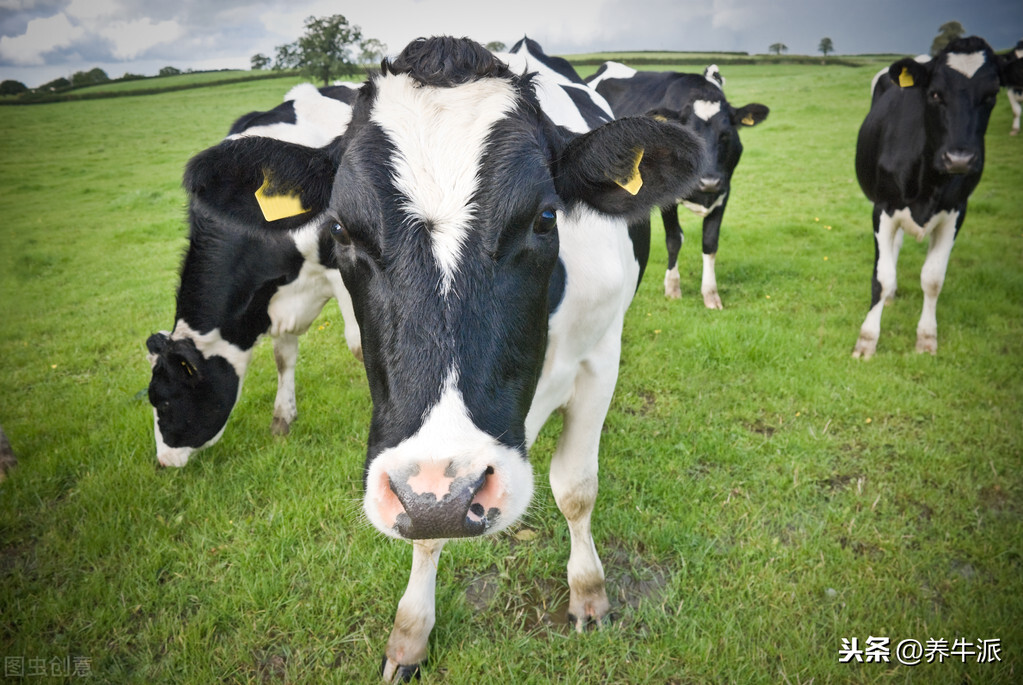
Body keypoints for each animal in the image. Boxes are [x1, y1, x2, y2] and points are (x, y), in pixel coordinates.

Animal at [147, 79, 364, 466]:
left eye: (167, 400)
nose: (163, 462)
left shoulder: (342, 274)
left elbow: (360, 345)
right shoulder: (272, 298)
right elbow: (283, 356)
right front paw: (282, 419)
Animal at [184, 36, 707, 682]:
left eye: (545, 217)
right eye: (341, 230)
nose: (449, 494)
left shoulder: (600, 357)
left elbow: (576, 487)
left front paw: (589, 593)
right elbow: (425, 534)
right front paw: (410, 634)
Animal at [585, 61, 769, 308]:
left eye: (726, 135)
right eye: (688, 135)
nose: (708, 180)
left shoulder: (723, 191)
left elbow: (710, 242)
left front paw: (711, 294)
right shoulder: (668, 197)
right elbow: (674, 239)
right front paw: (672, 288)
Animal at [851, 36, 1002, 359]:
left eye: (991, 95)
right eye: (935, 94)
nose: (959, 158)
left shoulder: (956, 212)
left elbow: (933, 279)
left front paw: (926, 339)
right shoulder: (882, 209)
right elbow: (881, 277)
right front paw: (866, 341)